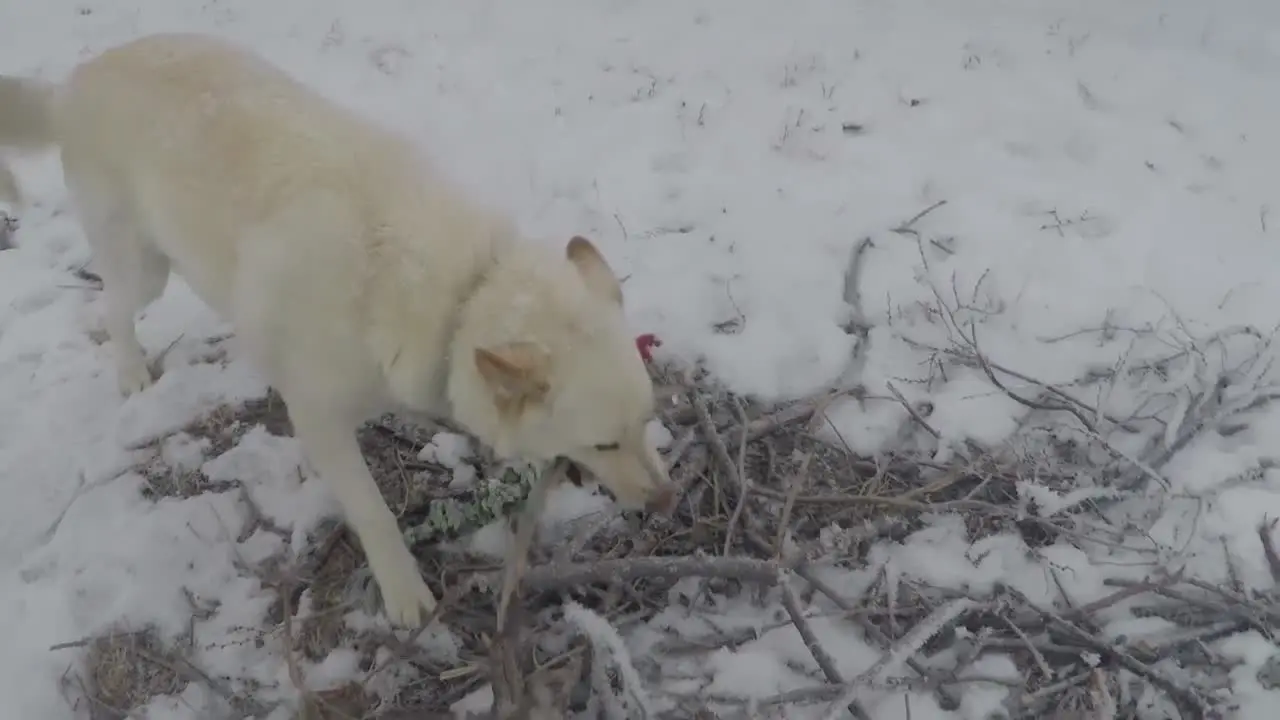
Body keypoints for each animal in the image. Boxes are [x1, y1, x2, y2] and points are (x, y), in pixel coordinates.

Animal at [0, 33, 680, 625]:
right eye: (603, 445)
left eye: (644, 424)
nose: (666, 502)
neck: (457, 293)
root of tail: (75, 82)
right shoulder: (321, 419)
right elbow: (374, 513)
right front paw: (403, 592)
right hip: (145, 270)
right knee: (112, 309)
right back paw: (132, 372)